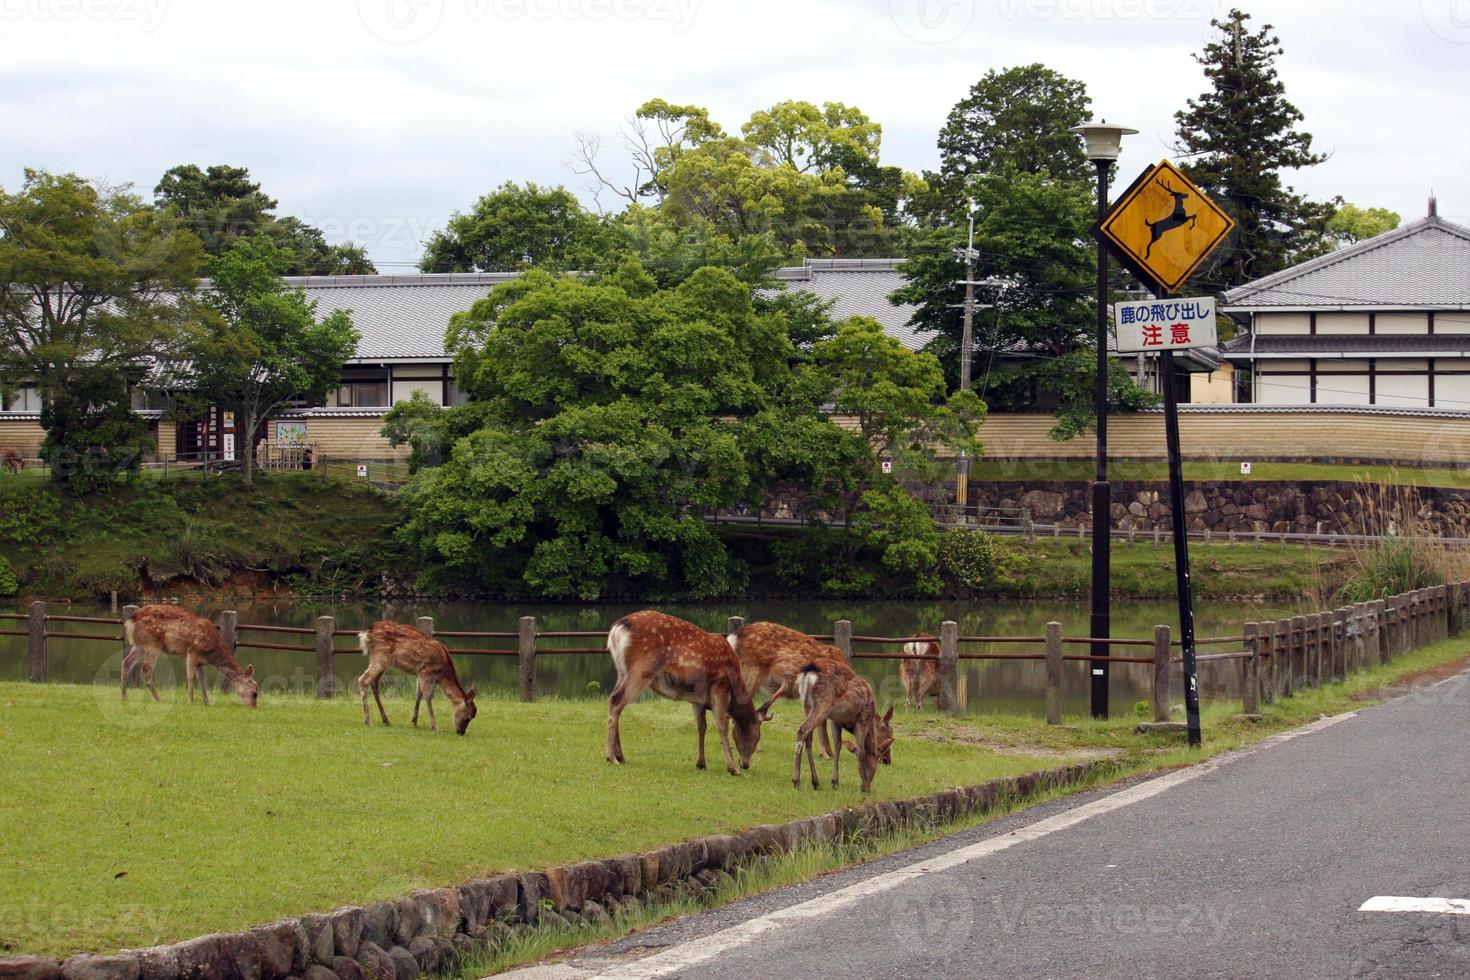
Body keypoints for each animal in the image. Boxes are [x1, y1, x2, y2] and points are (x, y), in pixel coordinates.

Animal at [122, 605, 260, 705]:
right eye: (255, 693)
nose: (253, 707)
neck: (212, 653)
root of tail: (131, 619)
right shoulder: (192, 651)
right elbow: (191, 677)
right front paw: (190, 701)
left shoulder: (200, 661)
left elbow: (202, 679)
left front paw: (206, 702)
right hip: (152, 643)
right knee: (146, 669)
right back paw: (159, 699)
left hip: (139, 644)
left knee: (126, 662)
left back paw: (123, 696)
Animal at [605, 608, 764, 775]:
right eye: (755, 736)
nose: (745, 764)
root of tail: (617, 628)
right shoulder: (720, 685)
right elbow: (722, 726)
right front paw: (732, 768)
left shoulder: (698, 699)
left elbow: (701, 727)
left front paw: (701, 763)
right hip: (642, 669)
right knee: (616, 702)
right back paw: (611, 757)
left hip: (621, 672)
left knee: (612, 700)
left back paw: (620, 756)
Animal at [793, 658, 893, 799]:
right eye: (889, 733)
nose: (887, 760)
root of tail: (808, 670)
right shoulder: (862, 719)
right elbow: (861, 751)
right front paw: (864, 786)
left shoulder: (836, 721)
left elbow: (838, 745)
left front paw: (835, 782)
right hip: (823, 703)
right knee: (802, 730)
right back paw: (796, 781)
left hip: (806, 704)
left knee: (808, 738)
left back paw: (815, 782)